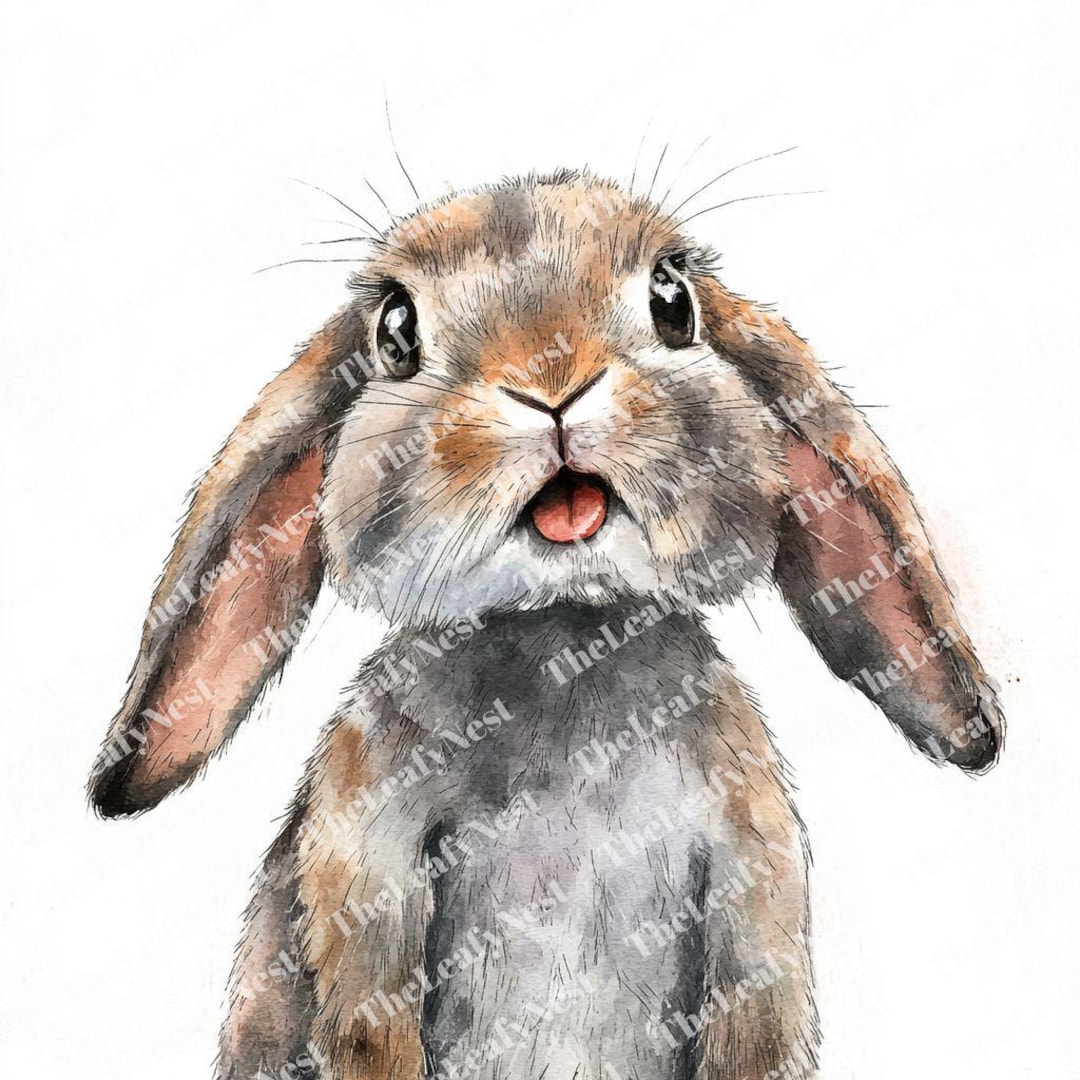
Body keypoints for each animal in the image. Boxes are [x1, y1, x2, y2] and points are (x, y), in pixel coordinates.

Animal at [88, 169, 1003, 1080]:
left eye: (673, 300)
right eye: (395, 331)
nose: (551, 382)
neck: (564, 637)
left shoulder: (755, 886)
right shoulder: (365, 894)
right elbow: (372, 1035)